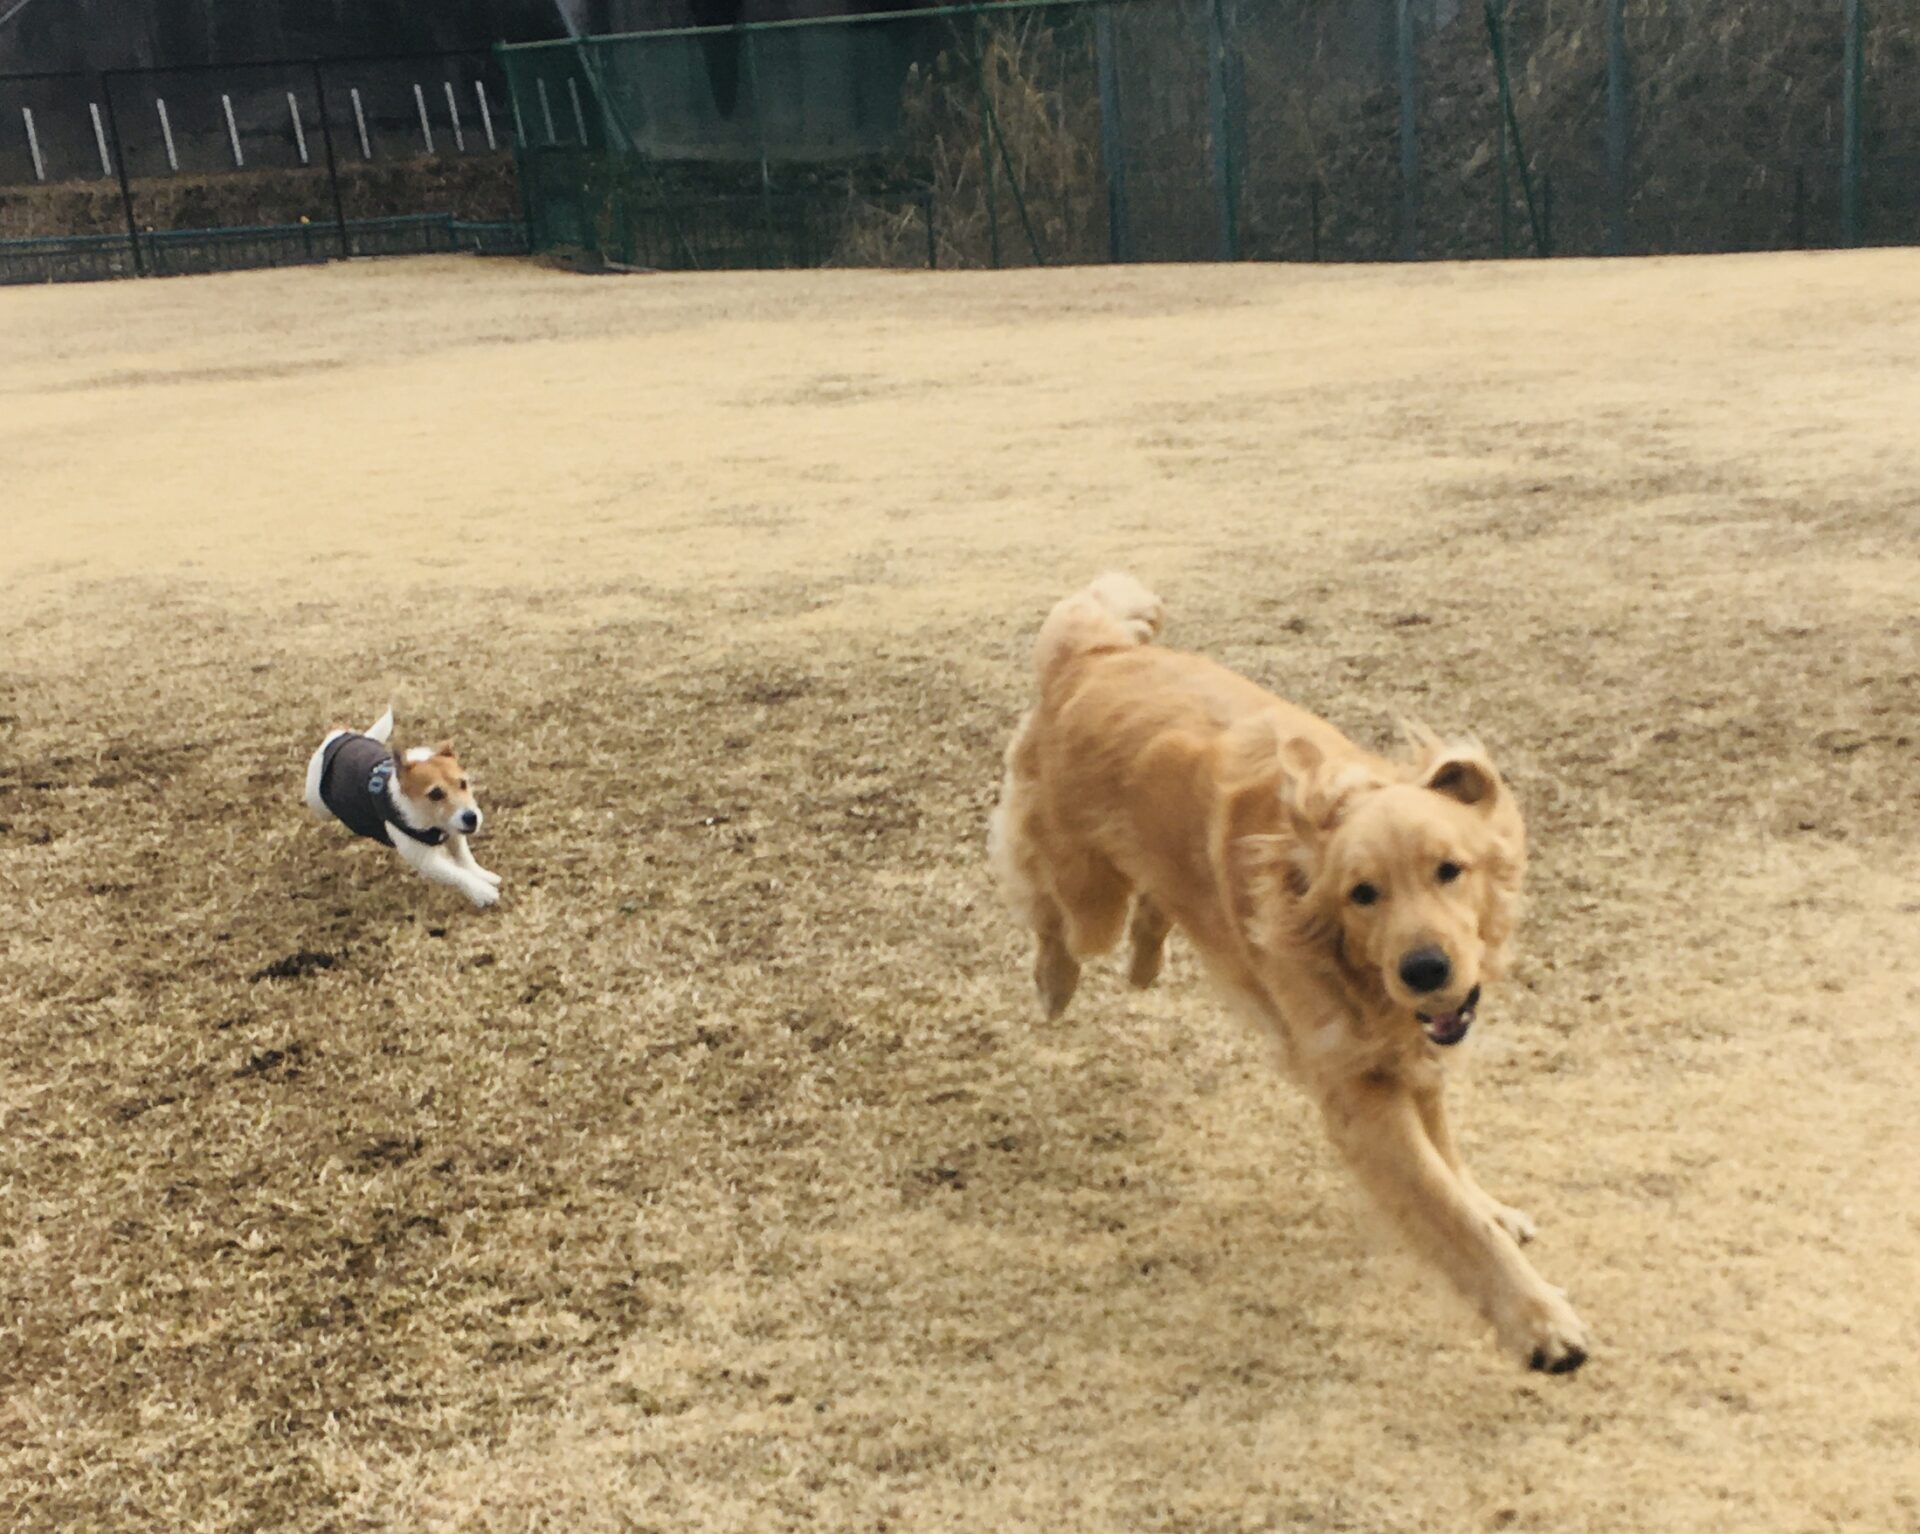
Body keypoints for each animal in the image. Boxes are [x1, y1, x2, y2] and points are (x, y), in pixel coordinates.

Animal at [303, 707, 501, 909]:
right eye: (435, 794)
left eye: (463, 783)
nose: (472, 817)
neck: (433, 822)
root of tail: (339, 737)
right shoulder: (425, 859)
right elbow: (456, 874)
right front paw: (481, 891)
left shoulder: (455, 835)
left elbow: (465, 859)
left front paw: (484, 876)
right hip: (318, 803)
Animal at [989, 575, 1589, 1372]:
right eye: (1362, 894)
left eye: (1450, 870)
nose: (1426, 969)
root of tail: (1093, 653)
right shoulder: (1361, 1094)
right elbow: (1449, 1212)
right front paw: (1538, 1321)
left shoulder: (1414, 1049)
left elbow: (1452, 1162)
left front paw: (1491, 1205)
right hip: (1087, 899)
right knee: (1051, 911)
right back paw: (1054, 983)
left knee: (1157, 903)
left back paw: (1146, 960)